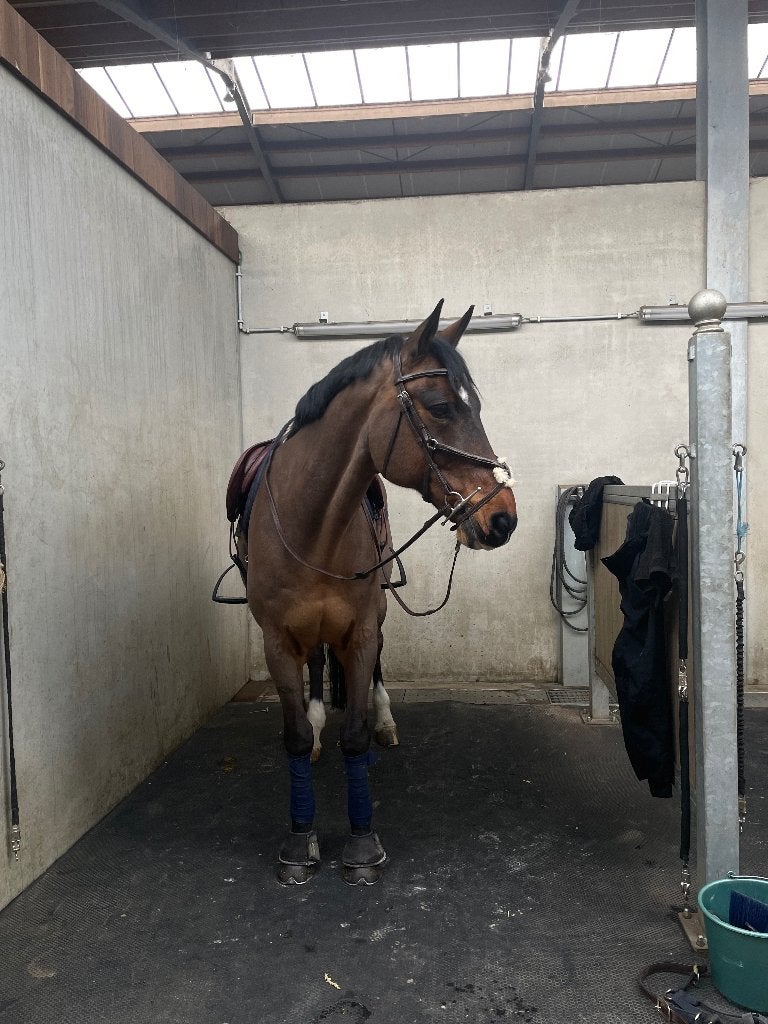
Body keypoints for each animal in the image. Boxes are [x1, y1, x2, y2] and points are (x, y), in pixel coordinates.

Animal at [244, 299, 517, 884]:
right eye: (439, 406)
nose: (502, 518)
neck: (312, 525)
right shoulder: (277, 642)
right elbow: (294, 736)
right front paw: (300, 842)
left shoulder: (363, 629)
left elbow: (356, 734)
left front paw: (362, 845)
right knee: (319, 670)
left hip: (381, 614)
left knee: (373, 674)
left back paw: (384, 720)